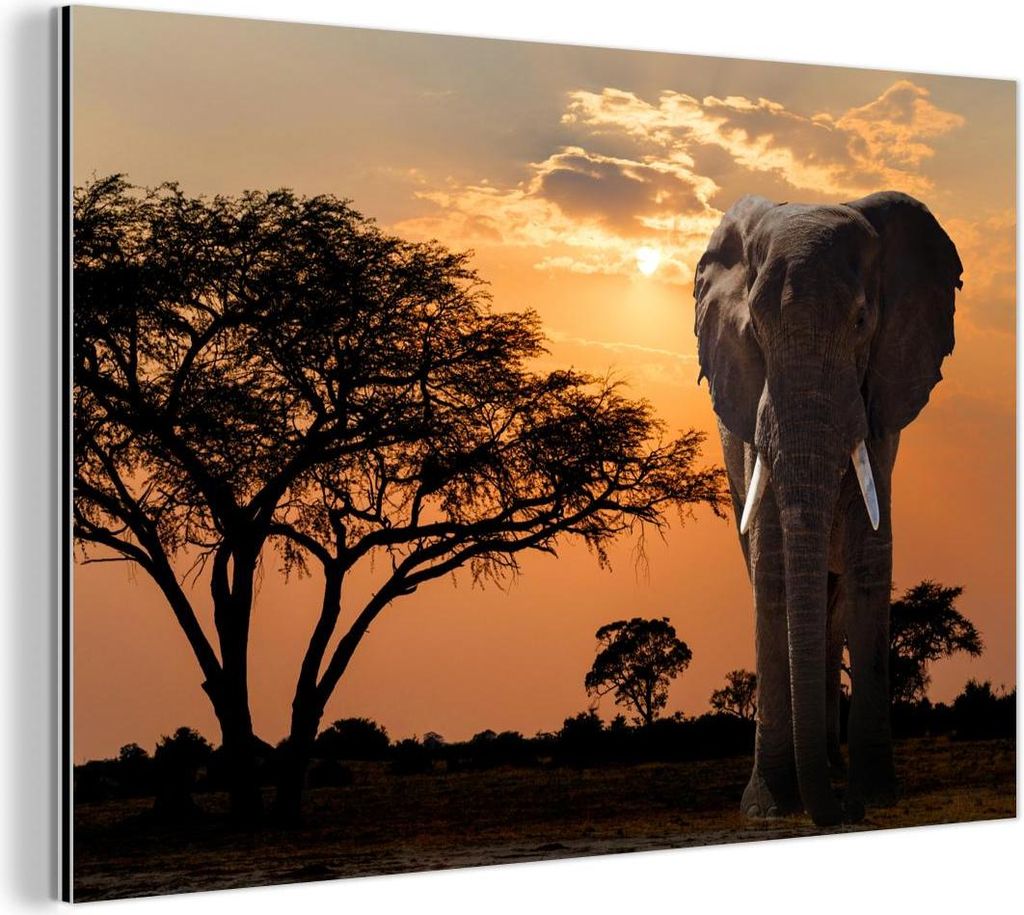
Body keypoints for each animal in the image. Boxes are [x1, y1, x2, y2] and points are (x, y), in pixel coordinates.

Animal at [693, 191, 962, 826]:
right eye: (754, 328)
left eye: (862, 323)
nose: (846, 812)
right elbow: (771, 566)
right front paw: (768, 808)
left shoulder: (882, 402)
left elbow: (870, 557)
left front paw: (876, 794)